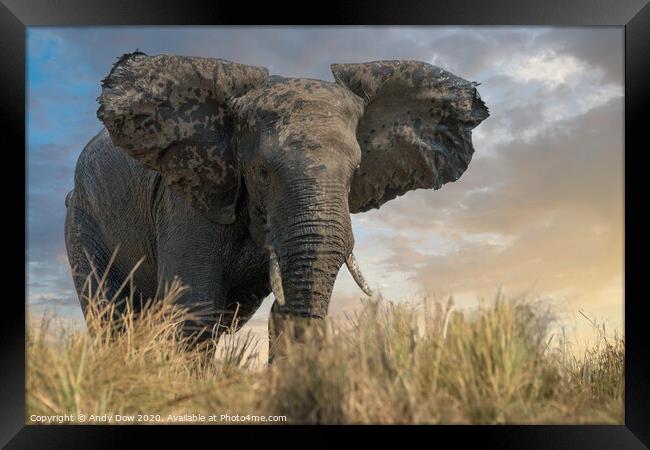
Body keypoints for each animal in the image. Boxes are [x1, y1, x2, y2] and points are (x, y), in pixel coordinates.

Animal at [64, 51, 486, 356]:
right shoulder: (185, 199)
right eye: (262, 171)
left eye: (355, 172)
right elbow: (193, 311)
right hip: (82, 222)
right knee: (112, 319)